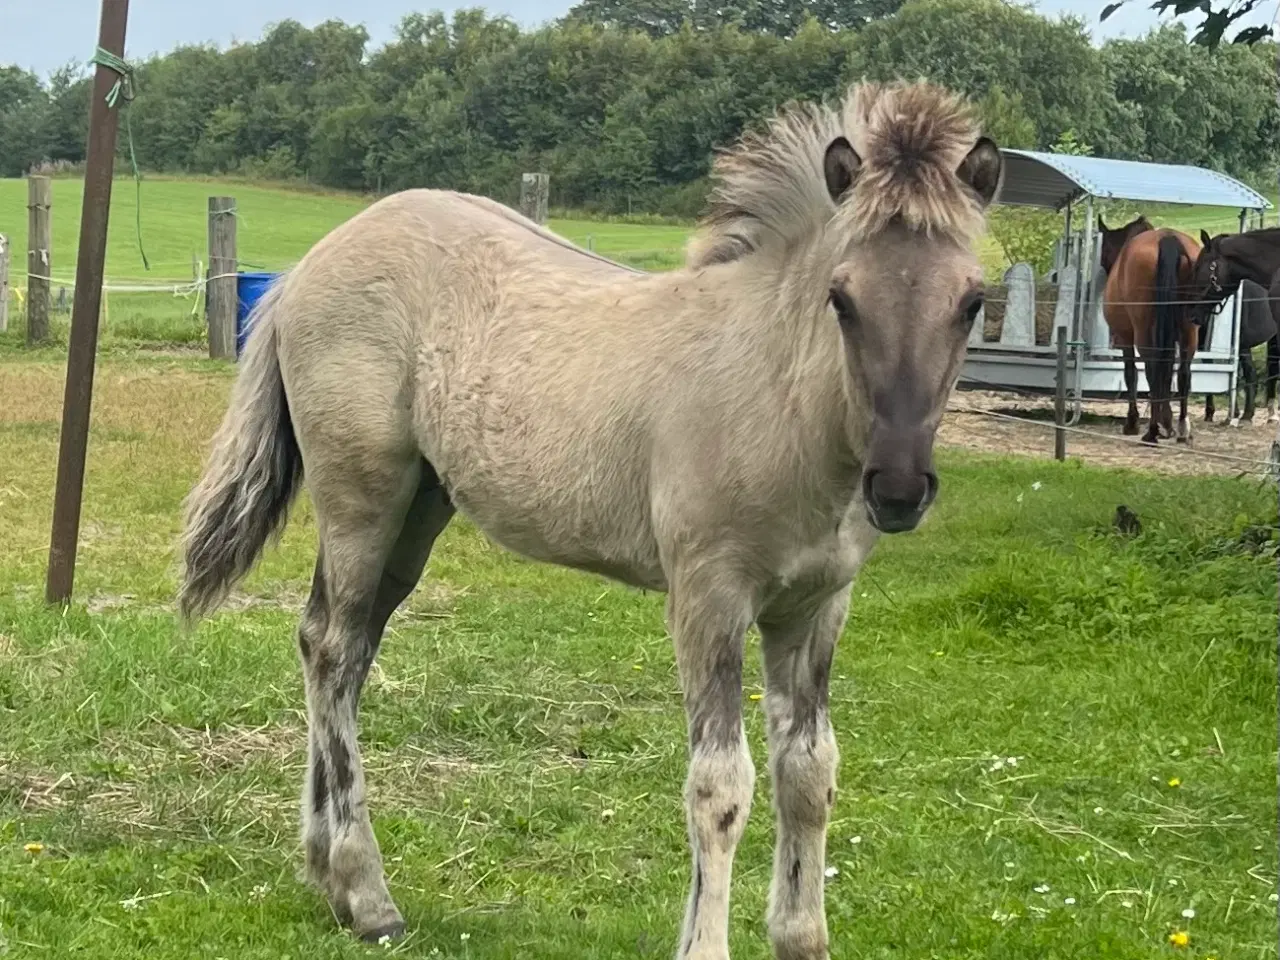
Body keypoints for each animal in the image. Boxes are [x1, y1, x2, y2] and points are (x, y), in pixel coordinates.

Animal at [177, 84, 998, 960]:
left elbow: (809, 770)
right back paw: (367, 895)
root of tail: (309, 265)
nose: (899, 488)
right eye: (841, 299)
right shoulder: (708, 596)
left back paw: (325, 871)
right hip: (362, 496)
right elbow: (721, 785)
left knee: (339, 643)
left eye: (972, 301)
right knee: (332, 650)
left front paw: (803, 937)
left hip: (418, 513)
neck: (778, 395)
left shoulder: (815, 606)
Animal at [1095, 217, 1203, 442]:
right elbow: (1168, 374)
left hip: (1143, 330)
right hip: (1190, 330)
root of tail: (1168, 239)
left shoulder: (1125, 336)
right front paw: (1167, 421)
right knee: (1183, 373)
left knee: (1152, 370)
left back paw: (1152, 431)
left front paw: (1133, 422)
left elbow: (1131, 374)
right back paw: (1182, 428)